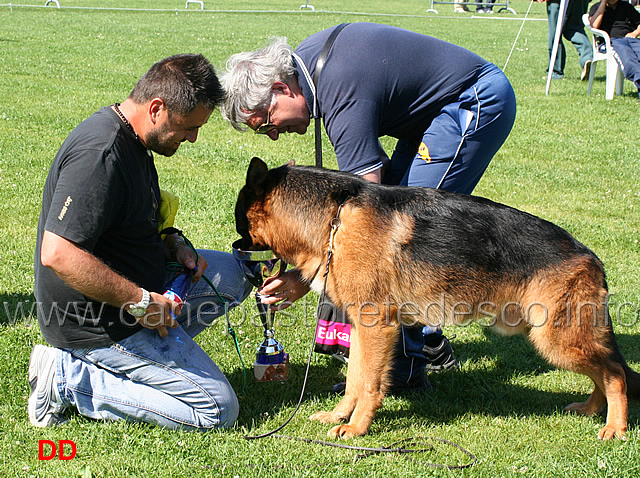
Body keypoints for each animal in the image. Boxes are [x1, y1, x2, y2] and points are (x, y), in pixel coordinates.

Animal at [235, 158, 640, 440]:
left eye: (241, 222)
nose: (237, 249)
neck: (336, 216)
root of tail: (590, 257)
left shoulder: (377, 327)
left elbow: (368, 384)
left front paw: (357, 429)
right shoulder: (364, 330)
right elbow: (353, 379)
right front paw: (339, 416)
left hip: (556, 340)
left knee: (616, 374)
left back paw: (615, 427)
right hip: (558, 338)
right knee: (604, 373)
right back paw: (591, 410)